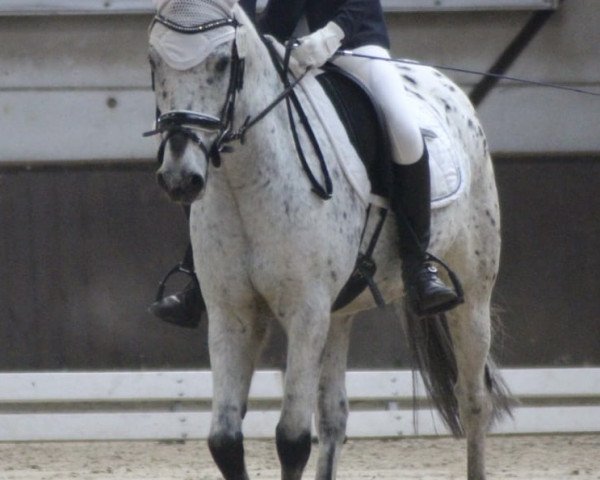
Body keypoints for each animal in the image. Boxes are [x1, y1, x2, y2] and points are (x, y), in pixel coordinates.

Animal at [145, 0, 510, 480]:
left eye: (223, 62)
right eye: (154, 61)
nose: (179, 178)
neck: (246, 184)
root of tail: (444, 83)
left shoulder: (305, 311)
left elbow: (292, 439)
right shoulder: (232, 313)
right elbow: (225, 440)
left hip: (473, 296)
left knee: (472, 402)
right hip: (338, 313)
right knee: (335, 416)